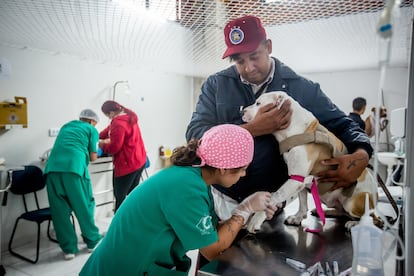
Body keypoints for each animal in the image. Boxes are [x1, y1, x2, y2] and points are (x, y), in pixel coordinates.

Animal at [236, 91, 378, 232]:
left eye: (258, 103)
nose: (241, 111)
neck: (295, 130)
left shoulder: (295, 179)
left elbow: (274, 197)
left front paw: (256, 219)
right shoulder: (299, 179)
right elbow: (302, 201)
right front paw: (298, 217)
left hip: (353, 202)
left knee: (373, 219)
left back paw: (355, 224)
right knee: (342, 211)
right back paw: (327, 212)